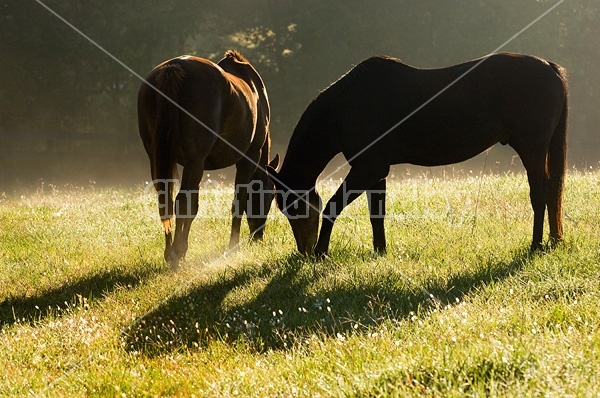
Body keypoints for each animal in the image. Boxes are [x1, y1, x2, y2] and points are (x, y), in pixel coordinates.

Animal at [139, 50, 280, 268]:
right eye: (270, 195)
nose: (258, 237)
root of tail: (174, 67)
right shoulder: (248, 159)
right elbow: (238, 202)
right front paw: (233, 246)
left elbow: (194, 205)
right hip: (194, 160)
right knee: (181, 201)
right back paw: (176, 253)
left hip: (163, 157)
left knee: (167, 201)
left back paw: (170, 251)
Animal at [270, 52, 568, 256]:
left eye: (293, 206)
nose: (304, 250)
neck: (346, 107)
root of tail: (550, 68)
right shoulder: (377, 172)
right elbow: (377, 214)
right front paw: (380, 252)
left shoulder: (368, 168)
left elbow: (334, 206)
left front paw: (322, 252)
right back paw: (552, 240)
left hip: (532, 148)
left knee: (540, 193)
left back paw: (536, 244)